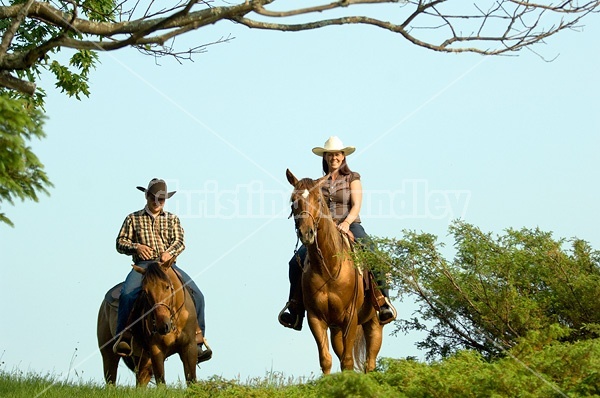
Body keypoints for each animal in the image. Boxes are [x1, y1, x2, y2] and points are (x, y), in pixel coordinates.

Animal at [96, 258, 198, 386]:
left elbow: (191, 380)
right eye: (145, 291)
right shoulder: (156, 350)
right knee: (111, 379)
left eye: (167, 286)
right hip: (108, 353)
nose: (162, 326)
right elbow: (161, 382)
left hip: (142, 360)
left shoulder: (189, 347)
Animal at [288, 168, 384, 374]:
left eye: (318, 199)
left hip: (373, 322)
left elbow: (347, 361)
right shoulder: (316, 319)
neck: (328, 270)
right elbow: (326, 360)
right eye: (293, 200)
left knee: (370, 362)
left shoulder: (350, 318)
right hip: (336, 329)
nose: (306, 233)